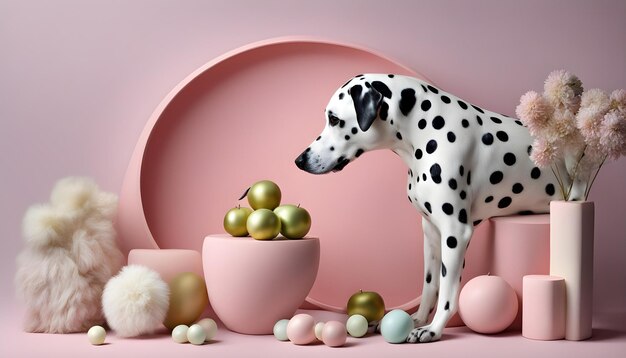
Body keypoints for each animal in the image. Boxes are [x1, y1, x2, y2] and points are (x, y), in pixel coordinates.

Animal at [294, 73, 576, 344]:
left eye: (334, 119)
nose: (299, 160)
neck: (427, 129)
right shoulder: (431, 232)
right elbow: (430, 285)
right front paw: (417, 320)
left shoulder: (456, 232)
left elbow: (448, 290)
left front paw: (433, 329)